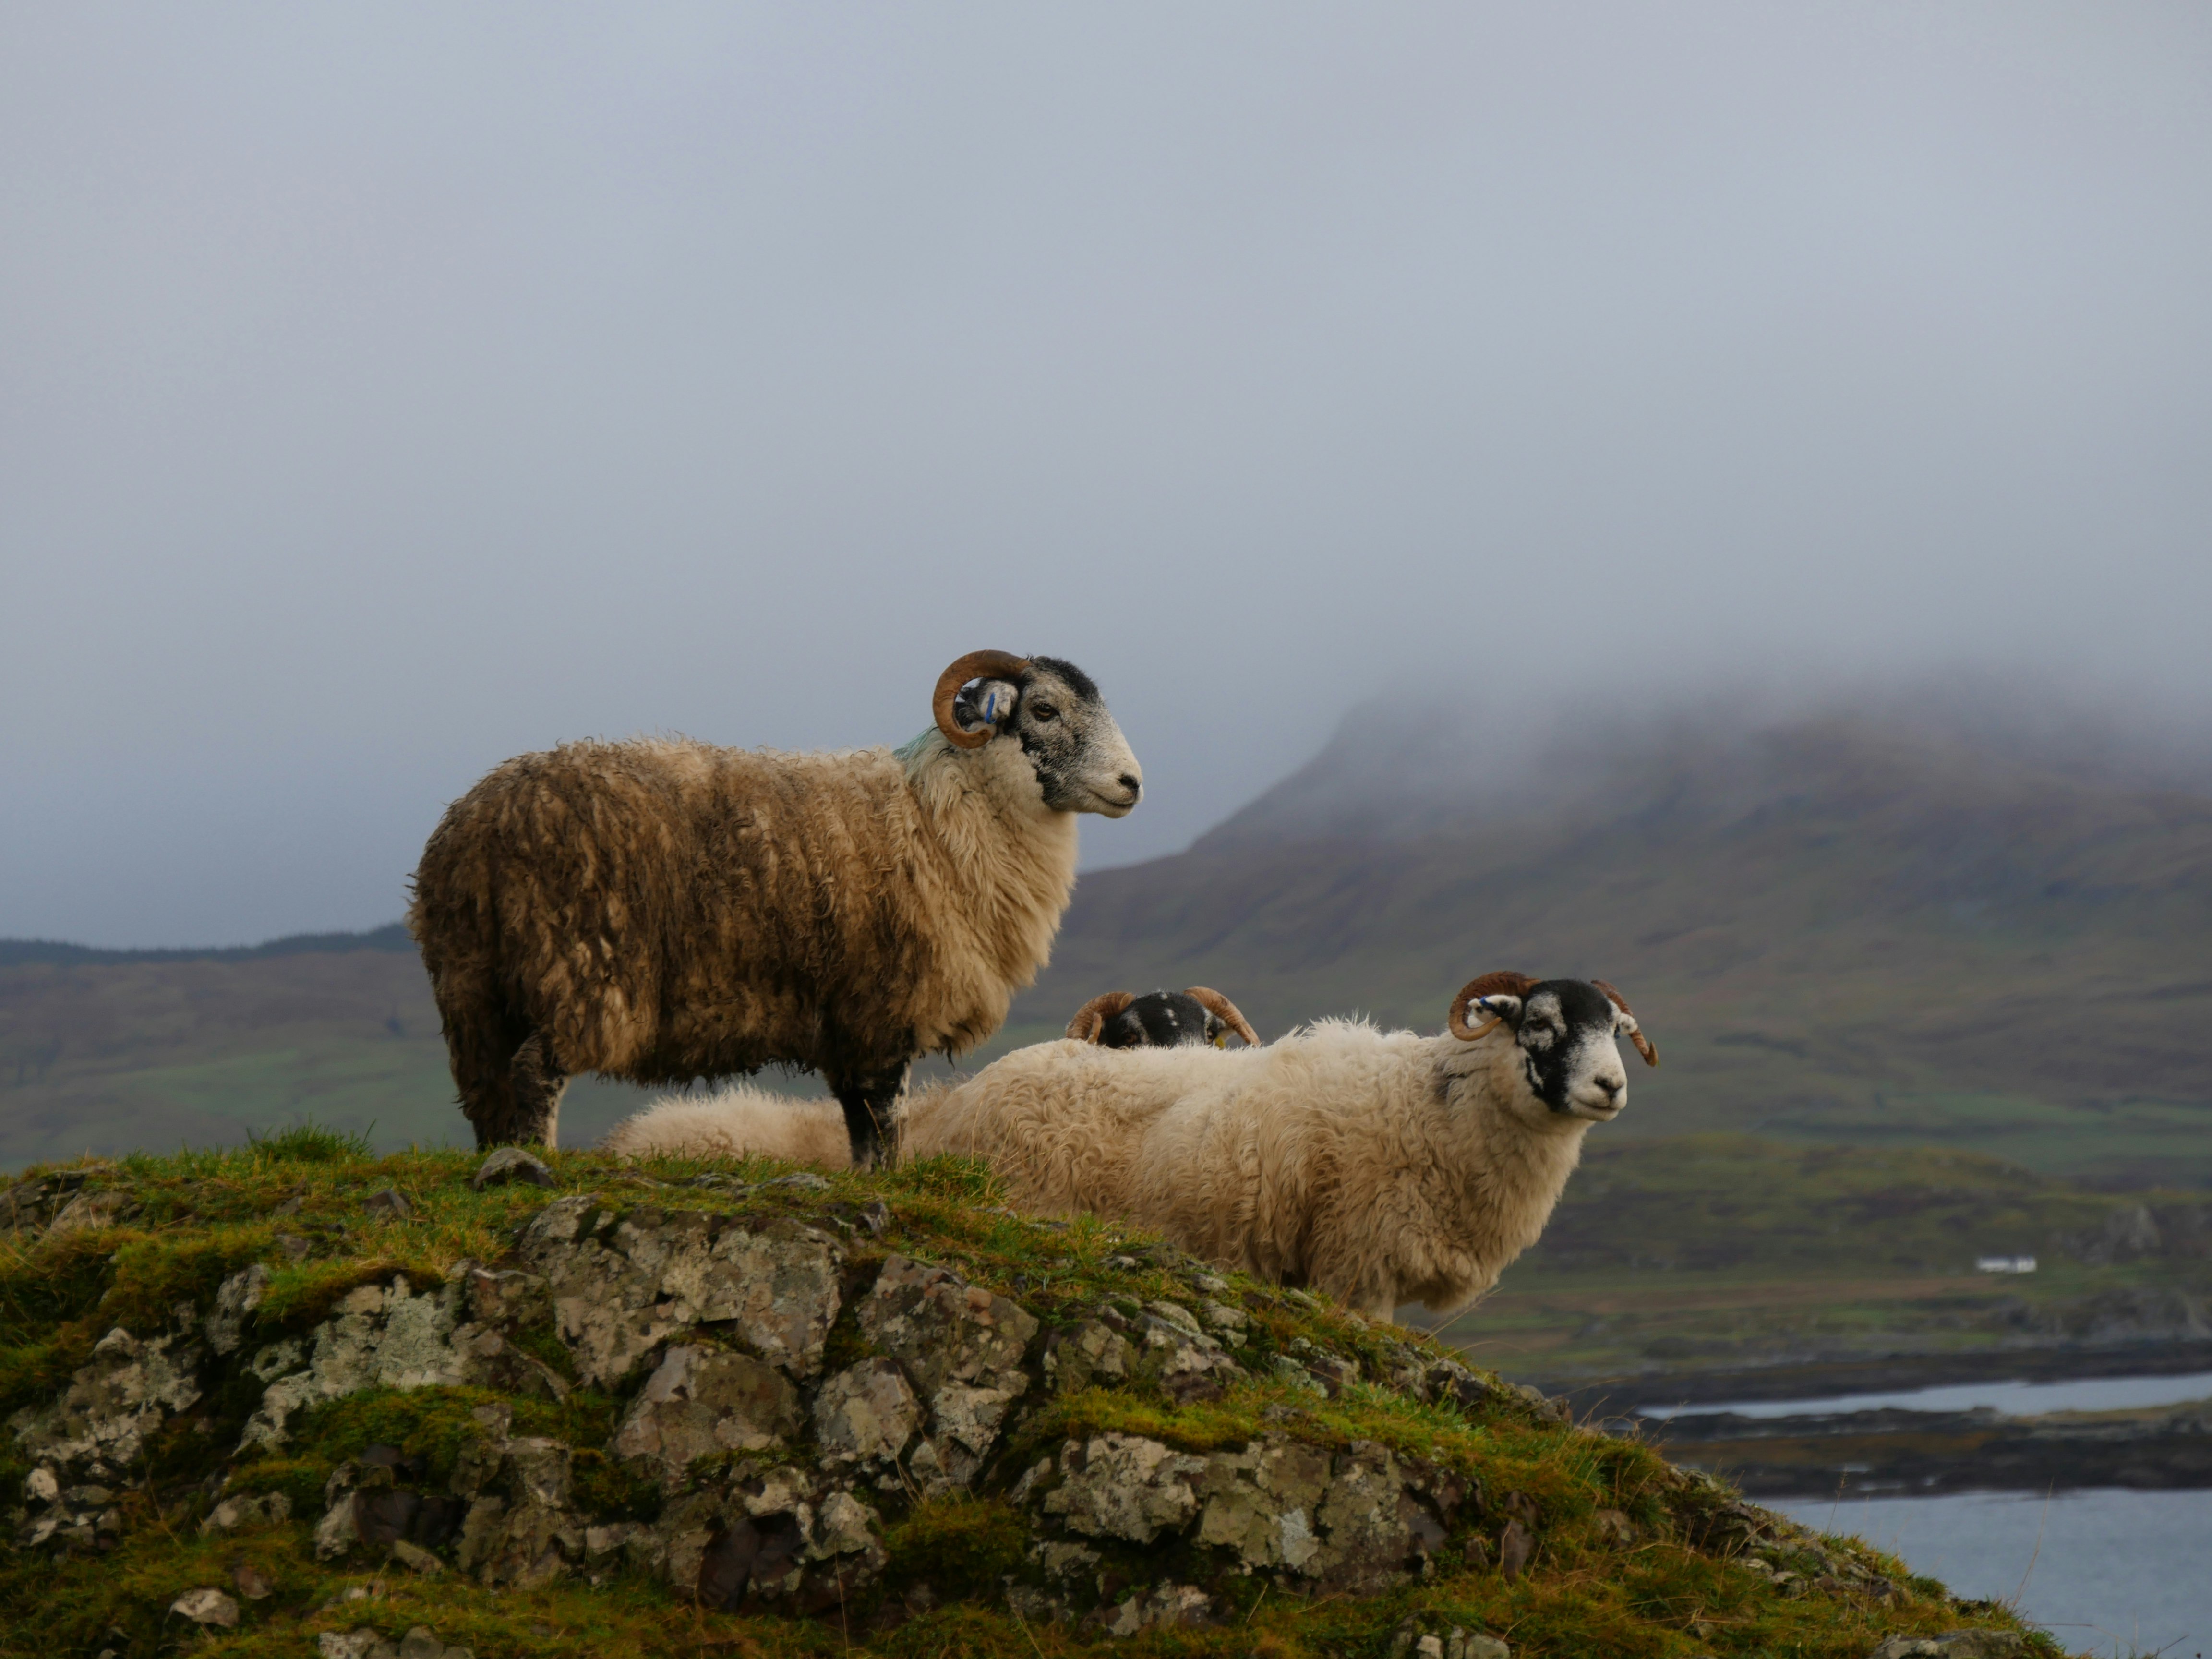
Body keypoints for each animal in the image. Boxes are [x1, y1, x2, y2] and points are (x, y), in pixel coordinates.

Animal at [407, 654, 1150, 1168]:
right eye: (1045, 710)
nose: (1132, 784)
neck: (940, 814)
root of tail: (472, 827)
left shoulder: (848, 1024)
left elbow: (859, 1126)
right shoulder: (884, 1006)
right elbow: (887, 1123)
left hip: (472, 989)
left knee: (487, 1088)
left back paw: (500, 1159)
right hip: (576, 967)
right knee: (535, 1074)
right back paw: (539, 1163)